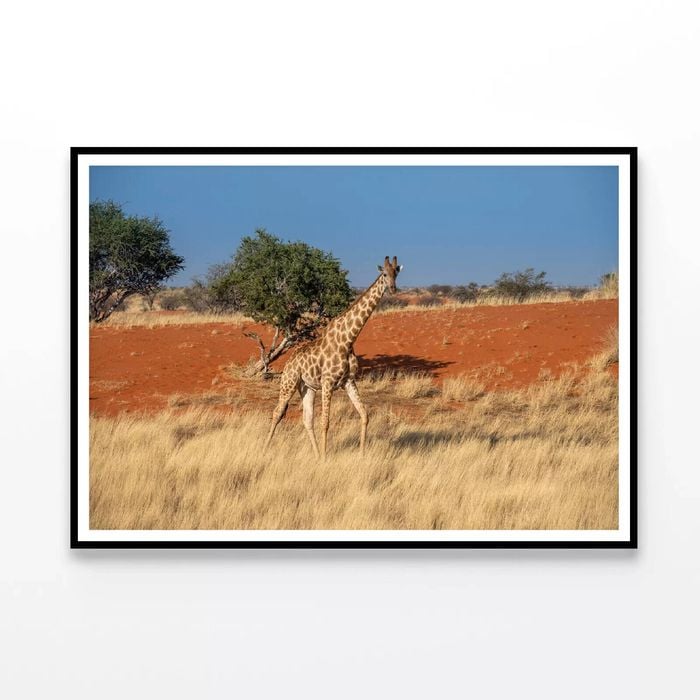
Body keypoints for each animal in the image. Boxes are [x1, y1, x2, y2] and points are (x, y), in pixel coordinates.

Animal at [265, 255, 403, 459]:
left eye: (396, 273)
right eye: (384, 274)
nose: (393, 289)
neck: (348, 340)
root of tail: (289, 362)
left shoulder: (349, 381)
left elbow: (364, 415)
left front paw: (361, 455)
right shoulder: (328, 382)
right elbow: (326, 422)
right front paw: (325, 457)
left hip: (307, 387)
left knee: (307, 419)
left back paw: (315, 454)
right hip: (288, 382)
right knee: (277, 412)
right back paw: (265, 449)